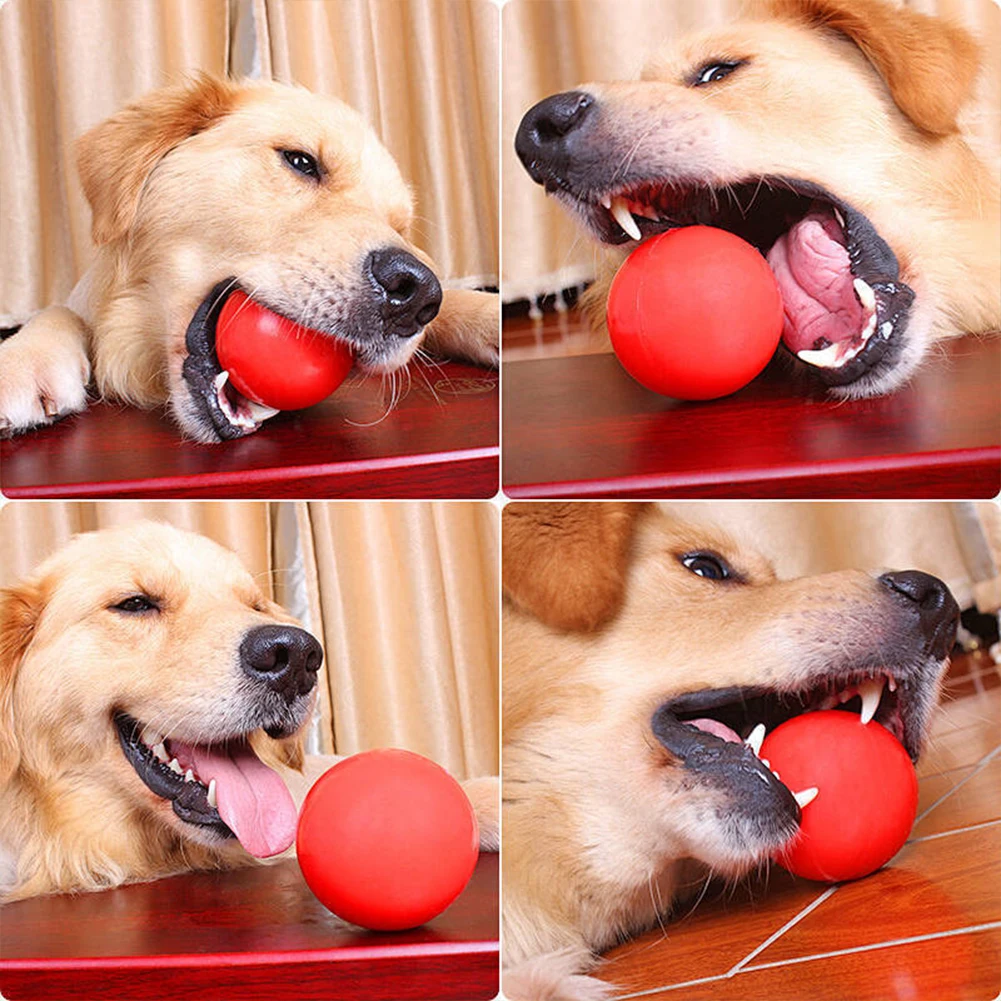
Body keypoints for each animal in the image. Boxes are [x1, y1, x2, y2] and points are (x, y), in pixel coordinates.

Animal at [0, 74, 498, 442]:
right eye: (300, 161)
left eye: (399, 225)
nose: (415, 293)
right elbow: (60, 312)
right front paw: (23, 362)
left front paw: (486, 315)